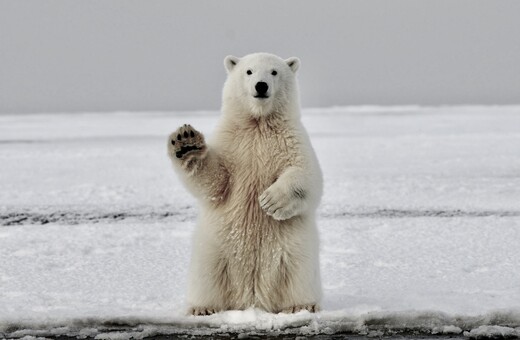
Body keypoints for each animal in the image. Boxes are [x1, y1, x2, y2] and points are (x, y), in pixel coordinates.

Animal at [168, 53, 320, 316]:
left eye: (274, 72)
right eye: (249, 71)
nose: (261, 86)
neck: (258, 124)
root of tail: (252, 298)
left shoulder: (291, 140)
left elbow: (307, 175)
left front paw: (271, 201)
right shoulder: (232, 143)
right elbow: (215, 182)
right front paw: (186, 143)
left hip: (294, 248)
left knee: (298, 272)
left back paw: (301, 305)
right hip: (214, 248)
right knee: (207, 275)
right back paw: (202, 308)